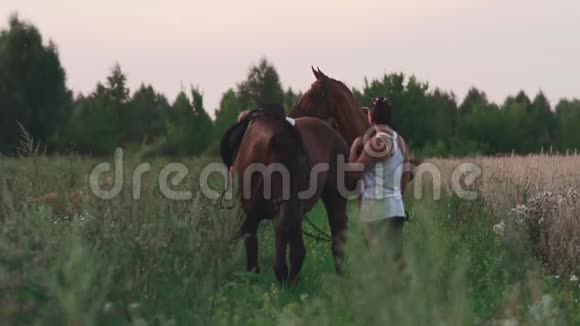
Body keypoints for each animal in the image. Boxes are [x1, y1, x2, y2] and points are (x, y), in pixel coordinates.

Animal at [231, 110, 348, 282]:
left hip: (332, 200)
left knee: (337, 238)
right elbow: (252, 254)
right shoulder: (250, 216)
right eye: (278, 169)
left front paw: (285, 277)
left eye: (305, 168)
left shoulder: (285, 213)